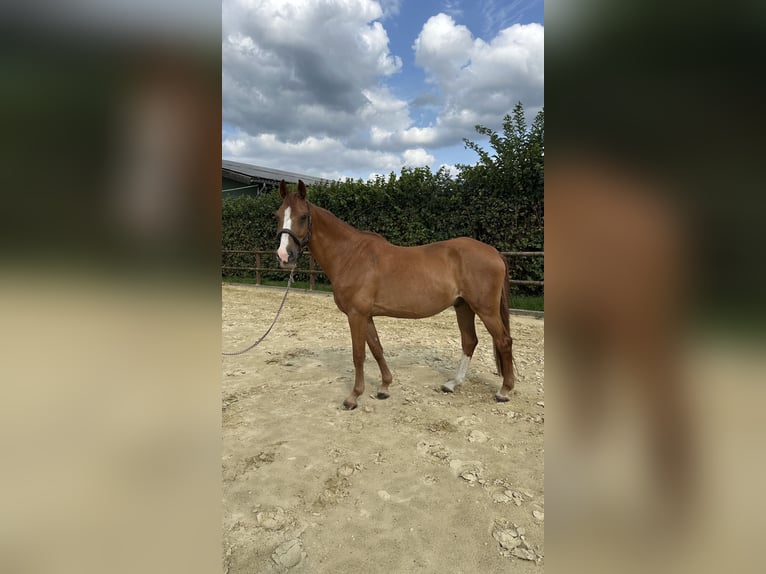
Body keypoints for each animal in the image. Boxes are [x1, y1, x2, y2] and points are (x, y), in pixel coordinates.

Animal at [275, 179, 515, 410]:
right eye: (277, 215)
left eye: (303, 216)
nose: (284, 256)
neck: (350, 255)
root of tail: (494, 252)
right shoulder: (366, 316)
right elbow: (376, 349)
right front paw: (384, 387)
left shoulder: (356, 315)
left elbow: (358, 354)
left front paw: (353, 397)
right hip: (463, 306)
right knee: (469, 341)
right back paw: (452, 384)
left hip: (485, 309)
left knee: (503, 341)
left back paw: (504, 391)